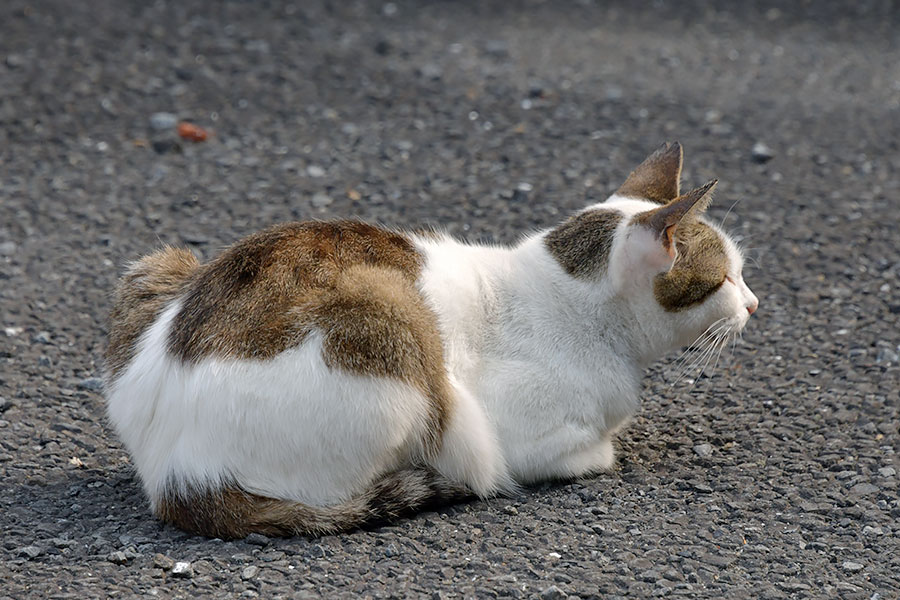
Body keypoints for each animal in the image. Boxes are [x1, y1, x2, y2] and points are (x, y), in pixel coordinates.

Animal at [102, 142, 756, 540]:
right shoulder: (529, 439)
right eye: (724, 278)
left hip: (161, 263)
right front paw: (602, 451)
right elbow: (591, 453)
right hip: (393, 331)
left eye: (743, 273)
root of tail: (173, 480)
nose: (753, 304)